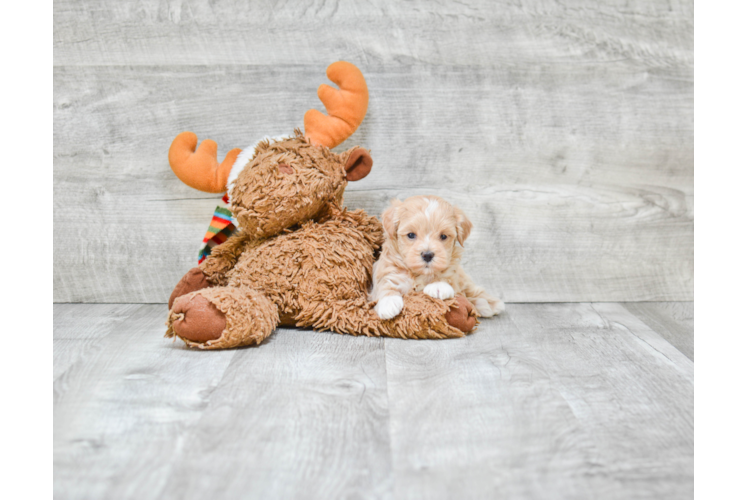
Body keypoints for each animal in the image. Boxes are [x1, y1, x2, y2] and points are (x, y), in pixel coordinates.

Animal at [368, 195, 502, 320]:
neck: (419, 274)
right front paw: (388, 303)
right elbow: (385, 283)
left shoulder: (453, 274)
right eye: (411, 235)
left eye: (443, 236)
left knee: (472, 289)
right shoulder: (387, 269)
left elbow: (447, 278)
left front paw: (438, 285)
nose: (427, 255)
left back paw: (489, 304)